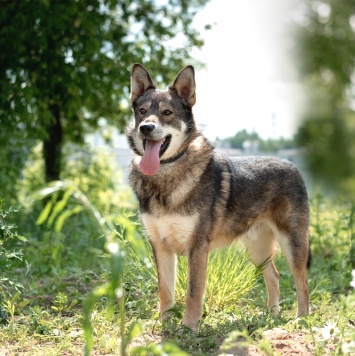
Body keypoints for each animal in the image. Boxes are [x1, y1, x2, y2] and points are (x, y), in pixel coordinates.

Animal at [126, 62, 312, 332]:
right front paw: (164, 326)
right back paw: (271, 317)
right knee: (275, 277)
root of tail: (294, 166)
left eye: (167, 113)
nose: (145, 128)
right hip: (257, 250)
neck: (166, 174)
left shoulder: (197, 248)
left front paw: (188, 329)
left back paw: (301, 319)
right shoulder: (160, 246)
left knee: (302, 282)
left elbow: (193, 293)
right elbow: (165, 292)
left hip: (292, 245)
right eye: (142, 112)